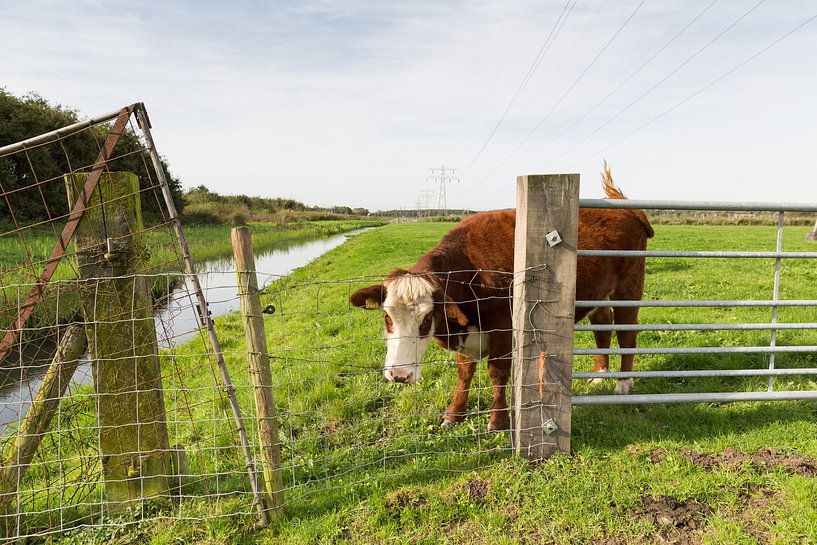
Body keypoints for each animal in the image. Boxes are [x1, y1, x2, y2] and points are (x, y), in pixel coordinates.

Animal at [350, 163, 654, 432]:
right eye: (387, 316)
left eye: (426, 319)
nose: (399, 376)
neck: (471, 273)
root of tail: (623, 204)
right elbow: (465, 373)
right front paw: (454, 413)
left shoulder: (503, 331)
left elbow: (497, 373)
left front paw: (497, 420)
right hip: (597, 296)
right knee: (602, 328)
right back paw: (600, 375)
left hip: (627, 290)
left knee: (627, 333)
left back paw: (623, 383)